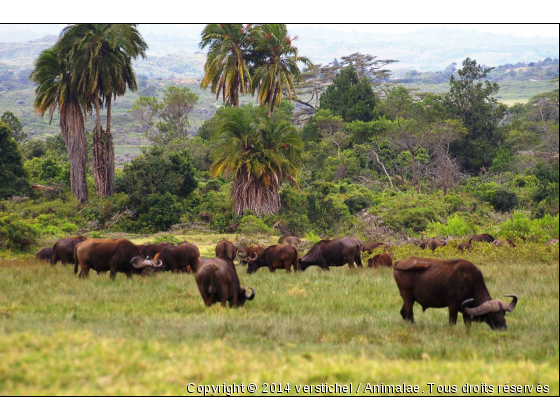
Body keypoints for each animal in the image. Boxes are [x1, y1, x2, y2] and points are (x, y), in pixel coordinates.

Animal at [392, 256, 520, 328]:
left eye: (504, 314)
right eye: (494, 315)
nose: (504, 328)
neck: (470, 283)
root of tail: (400, 263)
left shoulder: (466, 310)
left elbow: (468, 324)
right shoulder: (453, 306)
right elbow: (452, 322)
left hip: (408, 298)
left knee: (403, 313)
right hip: (407, 297)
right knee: (409, 314)